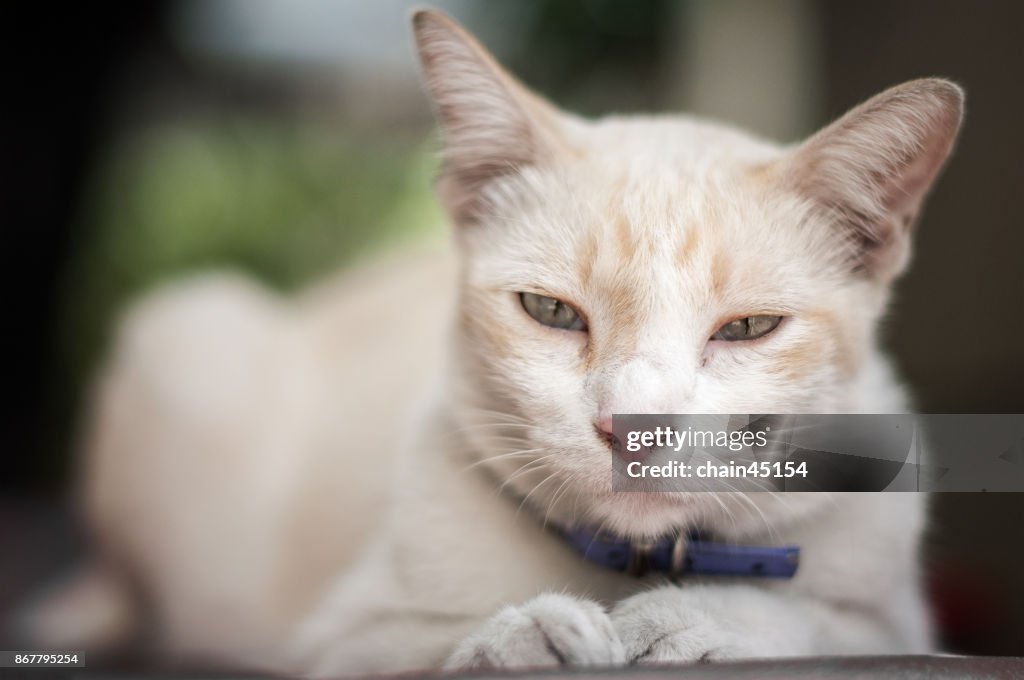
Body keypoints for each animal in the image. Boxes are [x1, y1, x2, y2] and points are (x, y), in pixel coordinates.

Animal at [25, 7, 966, 675]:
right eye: (551, 312)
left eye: (748, 328)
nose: (633, 430)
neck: (625, 566)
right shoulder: (342, 635)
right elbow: (420, 646)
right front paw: (527, 635)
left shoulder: (897, 613)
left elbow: (827, 622)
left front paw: (694, 618)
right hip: (188, 328)